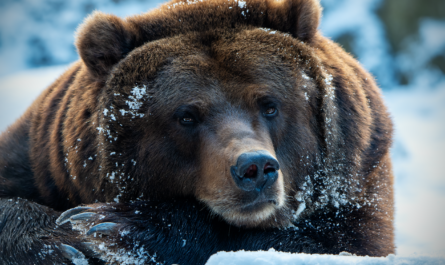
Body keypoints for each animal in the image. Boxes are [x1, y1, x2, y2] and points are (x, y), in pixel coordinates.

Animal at [0, 0, 394, 262]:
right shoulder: (43, 160)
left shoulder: (360, 173)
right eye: (186, 116)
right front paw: (59, 243)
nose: (255, 168)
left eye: (270, 104)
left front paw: (110, 226)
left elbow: (341, 241)